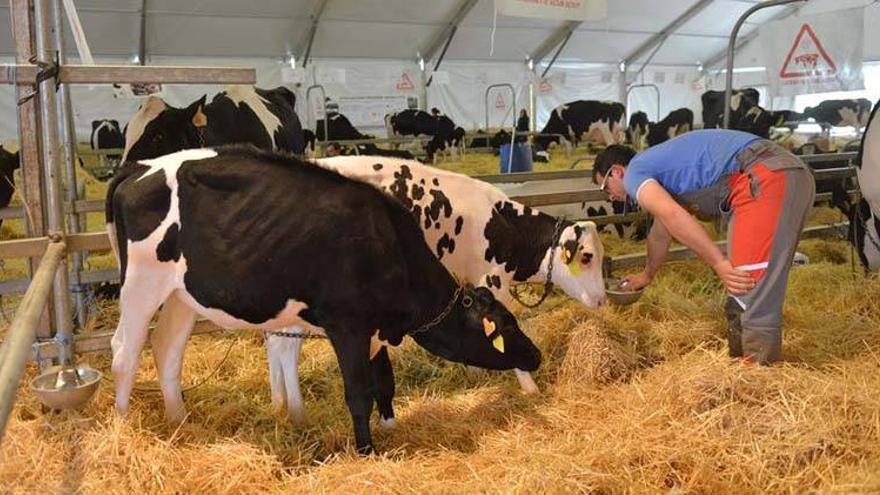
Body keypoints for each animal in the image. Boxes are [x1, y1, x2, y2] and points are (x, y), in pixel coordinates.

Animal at [106, 145, 540, 456]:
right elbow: (359, 392)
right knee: (124, 351)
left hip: (180, 295)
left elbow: (384, 382)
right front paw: (366, 450)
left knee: (167, 348)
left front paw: (390, 426)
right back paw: (123, 429)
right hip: (141, 284)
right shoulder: (347, 324)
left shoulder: (374, 330)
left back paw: (179, 421)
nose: (536, 355)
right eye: (505, 325)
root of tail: (139, 167)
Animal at [266, 155, 604, 422]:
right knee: (285, 348)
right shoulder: (492, 281)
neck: (504, 226)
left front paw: (475, 374)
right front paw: (530, 387)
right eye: (586, 256)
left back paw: (278, 404)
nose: (601, 300)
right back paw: (297, 413)